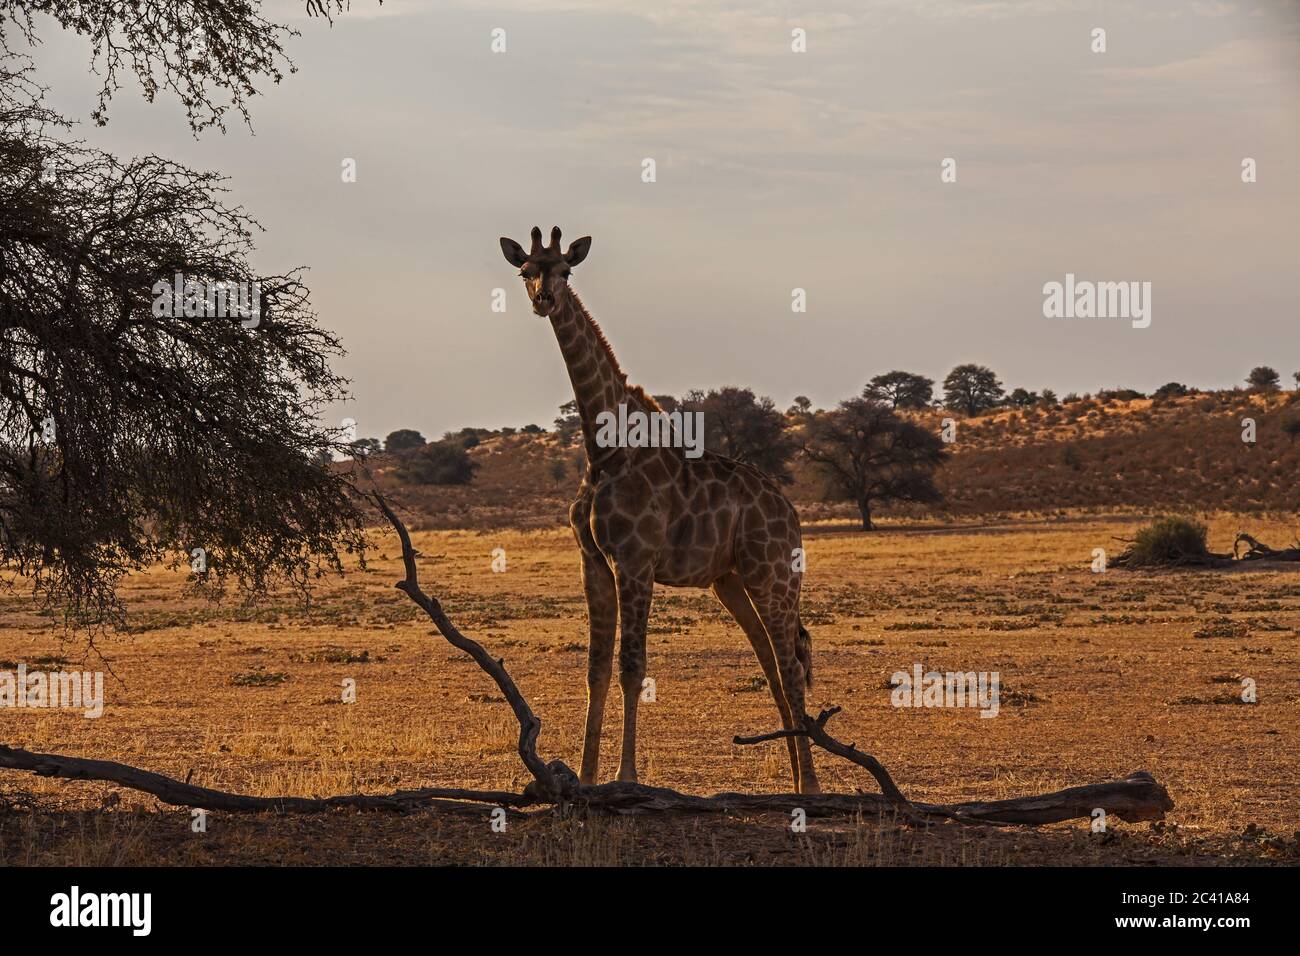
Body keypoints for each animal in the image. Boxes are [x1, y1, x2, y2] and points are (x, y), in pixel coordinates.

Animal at [499, 223, 821, 790]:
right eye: (526, 272)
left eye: (567, 270)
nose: (545, 300)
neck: (604, 451)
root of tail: (789, 509)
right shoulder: (593, 562)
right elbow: (596, 668)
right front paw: (585, 778)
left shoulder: (635, 560)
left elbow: (633, 665)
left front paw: (625, 775)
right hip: (730, 580)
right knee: (771, 662)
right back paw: (798, 782)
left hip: (774, 573)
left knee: (790, 664)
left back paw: (815, 786)